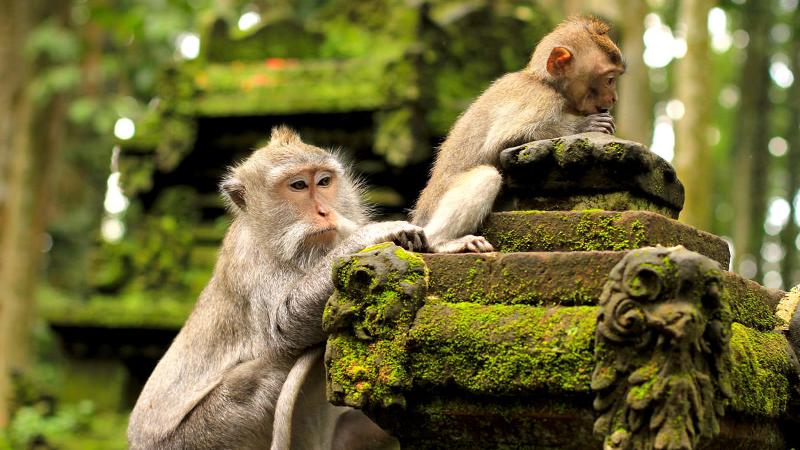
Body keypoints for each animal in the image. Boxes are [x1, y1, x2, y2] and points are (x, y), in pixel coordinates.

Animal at [128, 126, 422, 450]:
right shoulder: (251, 260)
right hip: (203, 435)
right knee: (266, 371)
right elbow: (284, 326)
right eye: (298, 185)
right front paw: (371, 234)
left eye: (324, 182)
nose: (324, 212)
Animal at [411, 16, 625, 253]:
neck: (544, 81)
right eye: (609, 79)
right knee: (487, 176)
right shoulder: (541, 99)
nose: (614, 98)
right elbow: (501, 141)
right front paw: (585, 125)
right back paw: (441, 242)